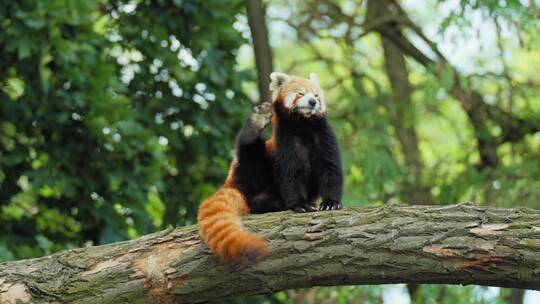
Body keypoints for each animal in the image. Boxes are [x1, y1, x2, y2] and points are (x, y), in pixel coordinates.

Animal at [197, 72, 342, 262]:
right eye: (301, 94)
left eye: (317, 95)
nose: (312, 102)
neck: (304, 125)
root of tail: (231, 182)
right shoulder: (285, 140)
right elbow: (291, 174)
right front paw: (300, 204)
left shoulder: (324, 135)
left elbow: (330, 169)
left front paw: (331, 203)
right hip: (253, 168)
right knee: (251, 160)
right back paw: (254, 126)